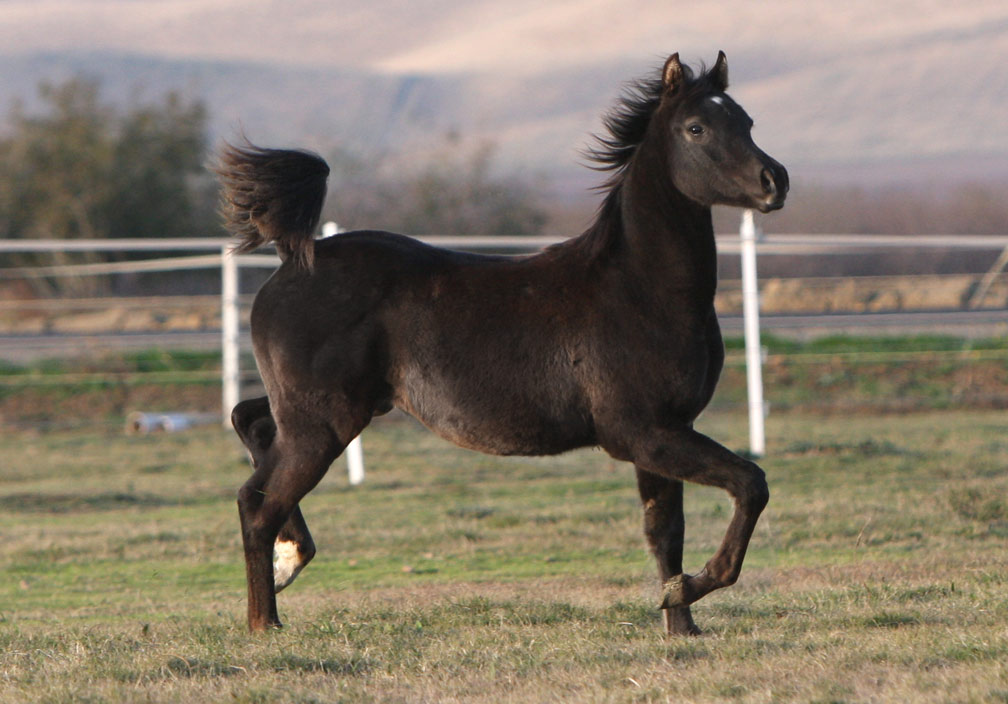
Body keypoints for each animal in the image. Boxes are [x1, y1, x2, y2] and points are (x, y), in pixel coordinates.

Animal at [216, 52, 790, 633]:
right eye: (696, 128)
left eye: (746, 121)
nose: (776, 181)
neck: (638, 287)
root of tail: (293, 259)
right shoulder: (642, 432)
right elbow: (750, 483)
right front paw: (691, 589)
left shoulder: (666, 430)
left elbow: (664, 532)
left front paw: (680, 622)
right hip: (324, 421)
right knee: (257, 504)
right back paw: (265, 621)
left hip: (327, 409)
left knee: (249, 426)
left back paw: (290, 559)